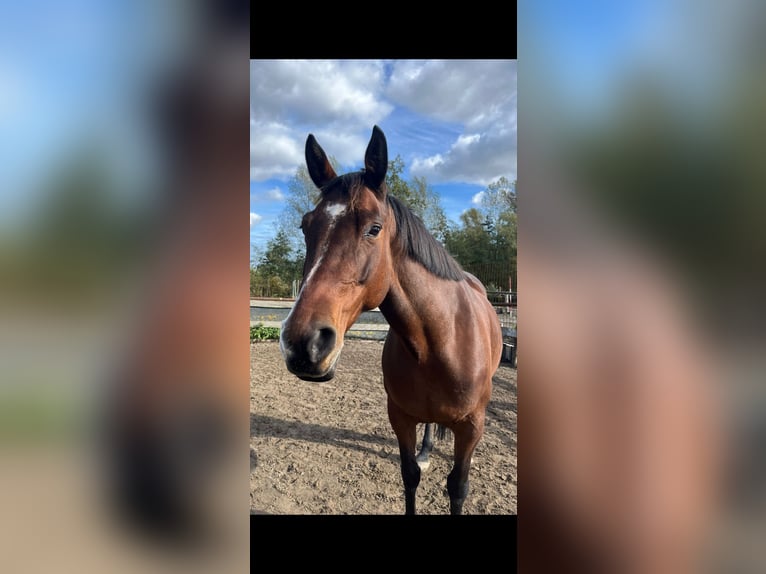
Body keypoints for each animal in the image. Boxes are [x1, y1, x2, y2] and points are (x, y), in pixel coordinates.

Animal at [279, 125, 504, 515]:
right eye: (306, 226)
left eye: (374, 228)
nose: (302, 343)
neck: (440, 341)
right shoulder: (400, 417)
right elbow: (409, 476)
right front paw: (420, 460)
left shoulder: (472, 425)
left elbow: (458, 488)